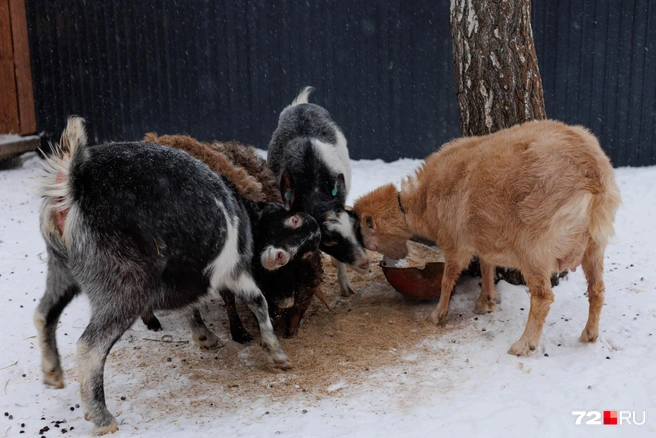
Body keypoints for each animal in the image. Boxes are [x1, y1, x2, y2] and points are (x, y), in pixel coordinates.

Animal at [354, 119, 620, 356]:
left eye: (364, 233)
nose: (363, 263)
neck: (419, 204)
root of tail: (593, 176)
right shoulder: (482, 234)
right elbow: (486, 264)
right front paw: (487, 301)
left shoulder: (455, 242)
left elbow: (447, 279)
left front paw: (437, 314)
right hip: (594, 245)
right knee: (597, 289)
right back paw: (589, 334)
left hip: (534, 246)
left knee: (543, 296)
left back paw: (524, 345)